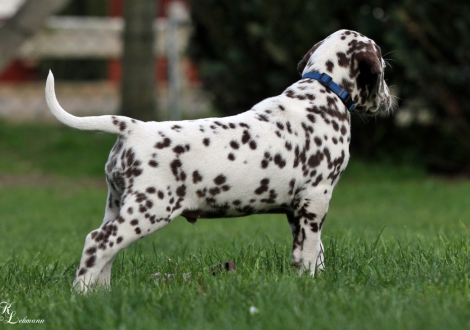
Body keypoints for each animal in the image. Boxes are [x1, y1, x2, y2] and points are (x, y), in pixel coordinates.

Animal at [46, 28, 394, 292]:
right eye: (384, 68)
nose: (390, 99)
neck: (325, 91)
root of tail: (132, 127)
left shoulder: (297, 207)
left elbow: (313, 248)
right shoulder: (316, 198)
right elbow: (310, 249)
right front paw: (309, 282)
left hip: (117, 205)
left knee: (106, 251)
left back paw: (102, 292)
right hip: (148, 209)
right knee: (97, 243)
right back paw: (81, 295)